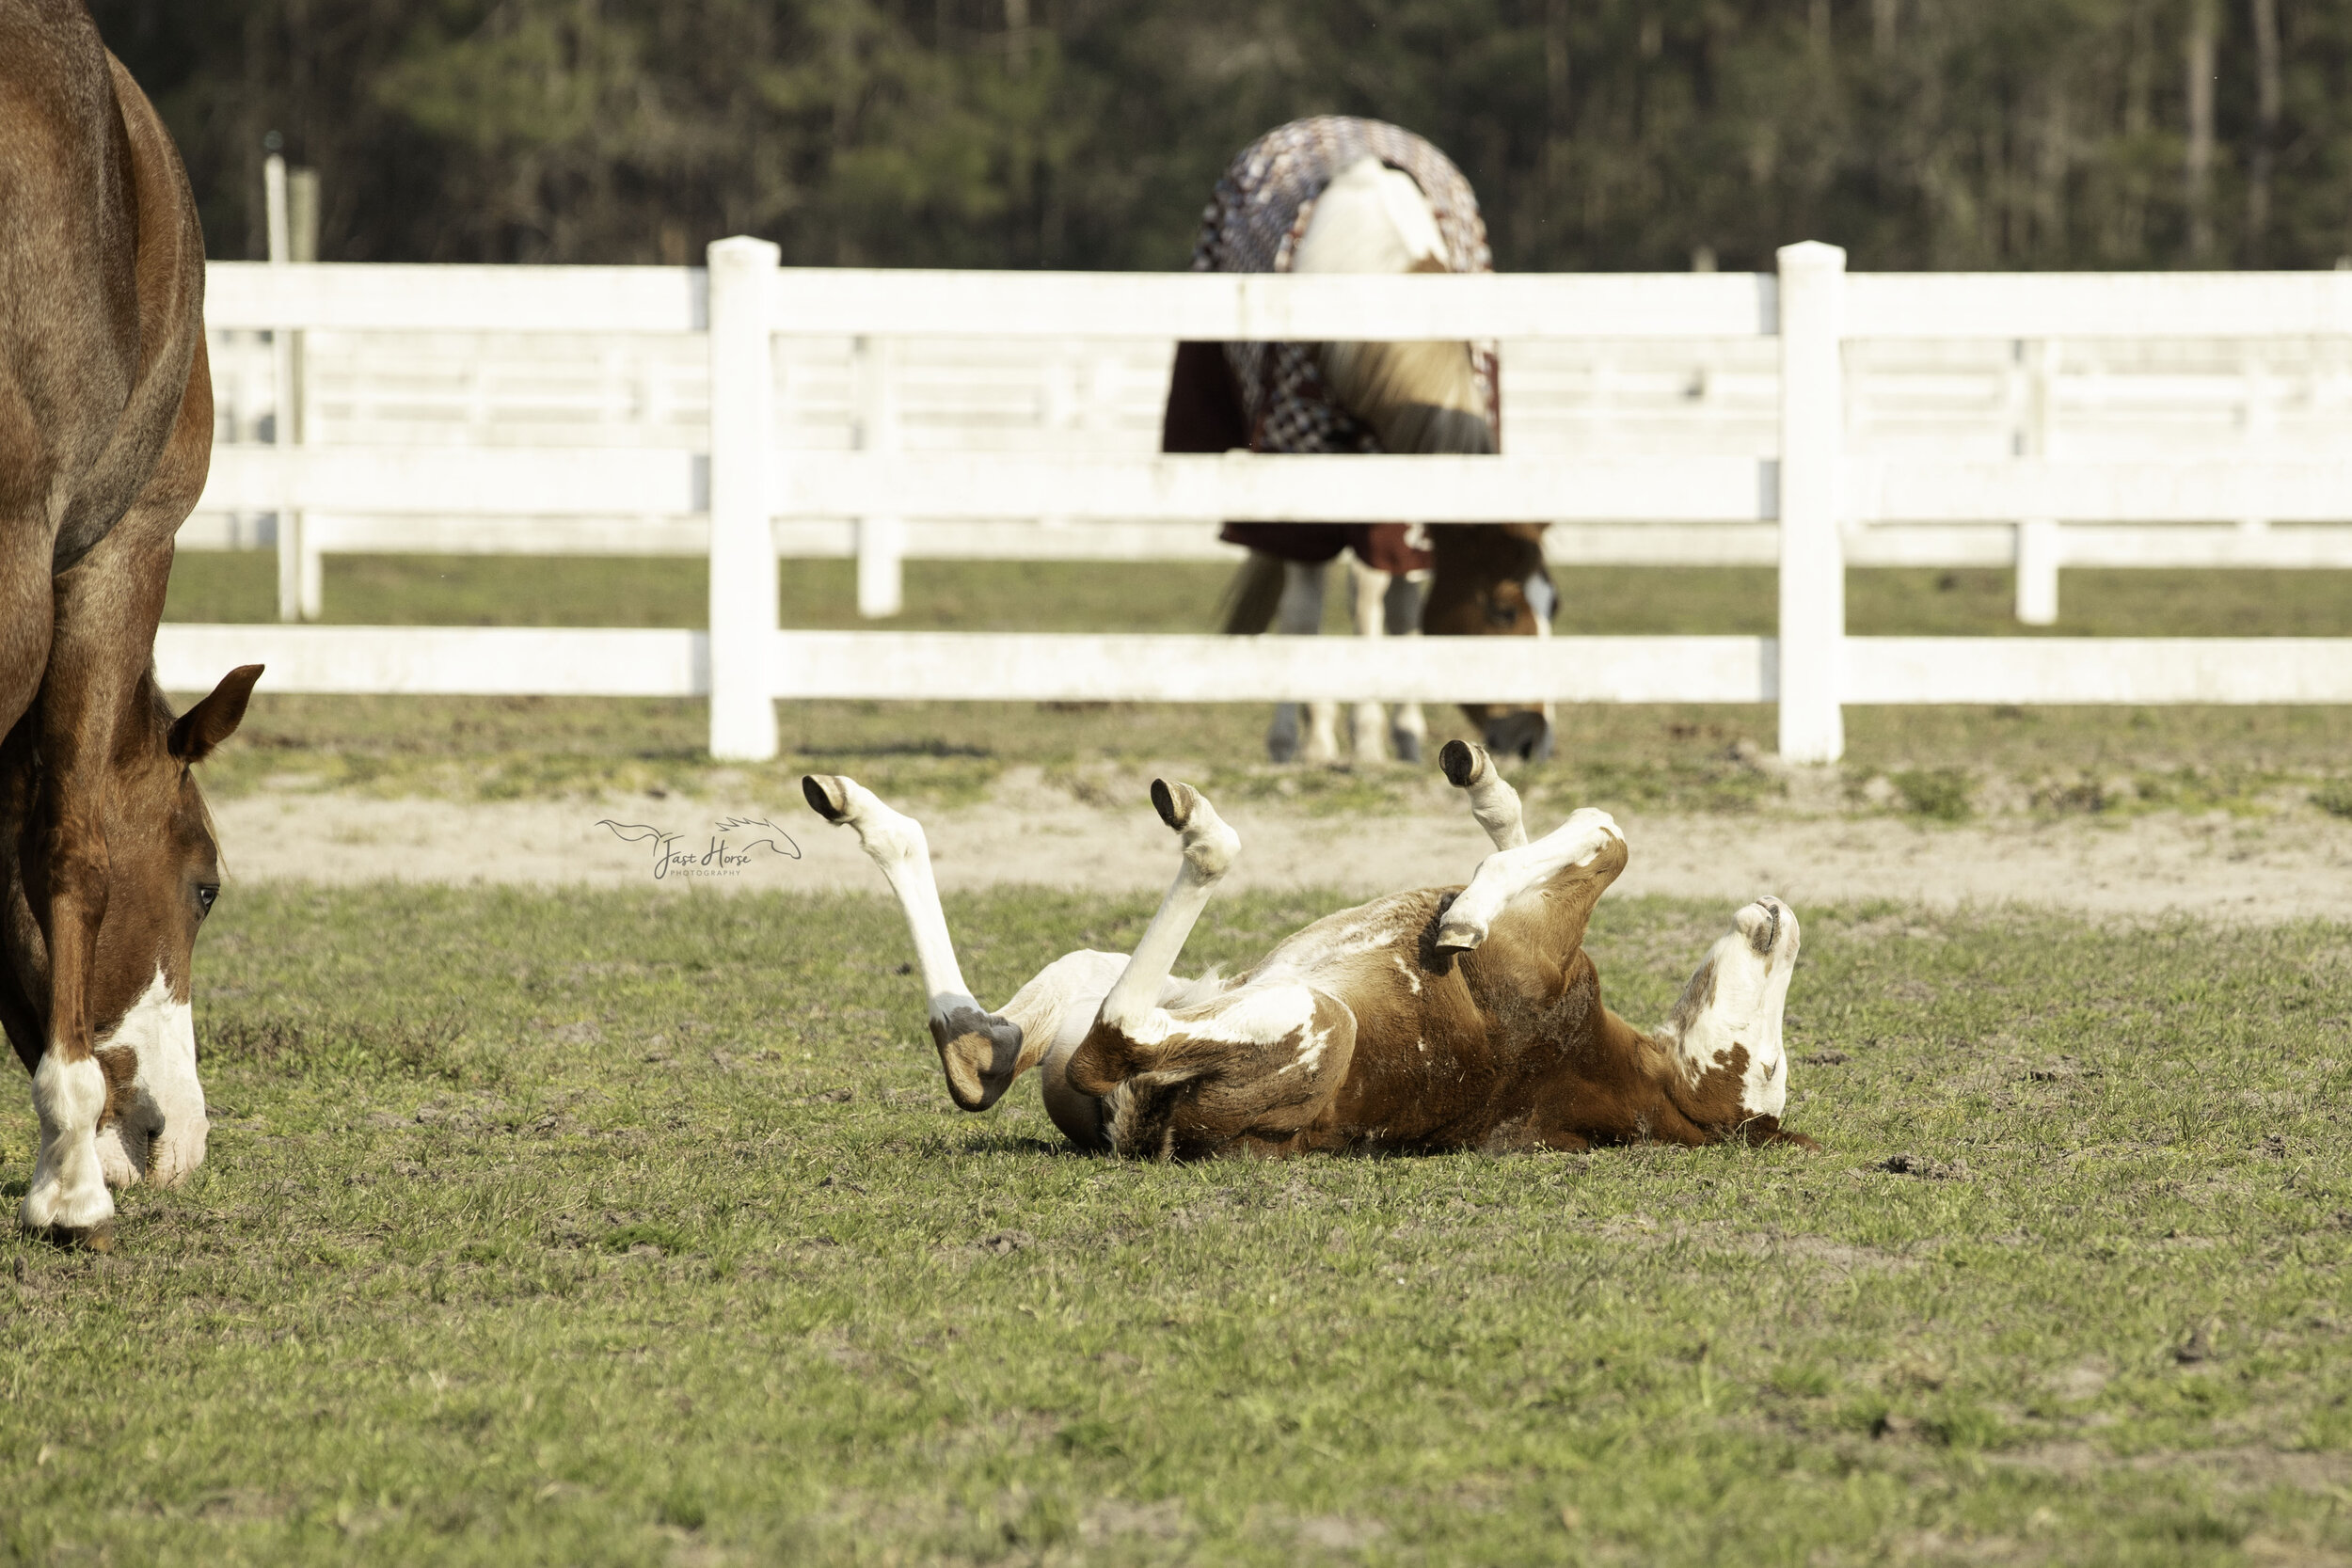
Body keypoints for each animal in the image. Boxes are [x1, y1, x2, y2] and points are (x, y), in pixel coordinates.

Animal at [809, 742, 1816, 1161]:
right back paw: (865, 812)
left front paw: (1465, 913)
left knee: (1100, 1037)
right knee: (984, 1052)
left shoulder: (1547, 946)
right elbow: (1548, 829)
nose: (1784, 915)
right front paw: (1484, 788)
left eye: (1767, 1066)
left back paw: (1203, 832)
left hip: (1308, 1015)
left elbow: (1607, 835)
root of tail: (1145, 1131)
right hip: (1184, 989)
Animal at [1162, 116, 1562, 766]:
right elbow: (1304, 611)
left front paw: (1391, 734)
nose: (1533, 739)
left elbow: (1391, 603)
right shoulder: (1296, 480)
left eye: (1554, 603)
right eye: (1503, 609)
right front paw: (1312, 740)